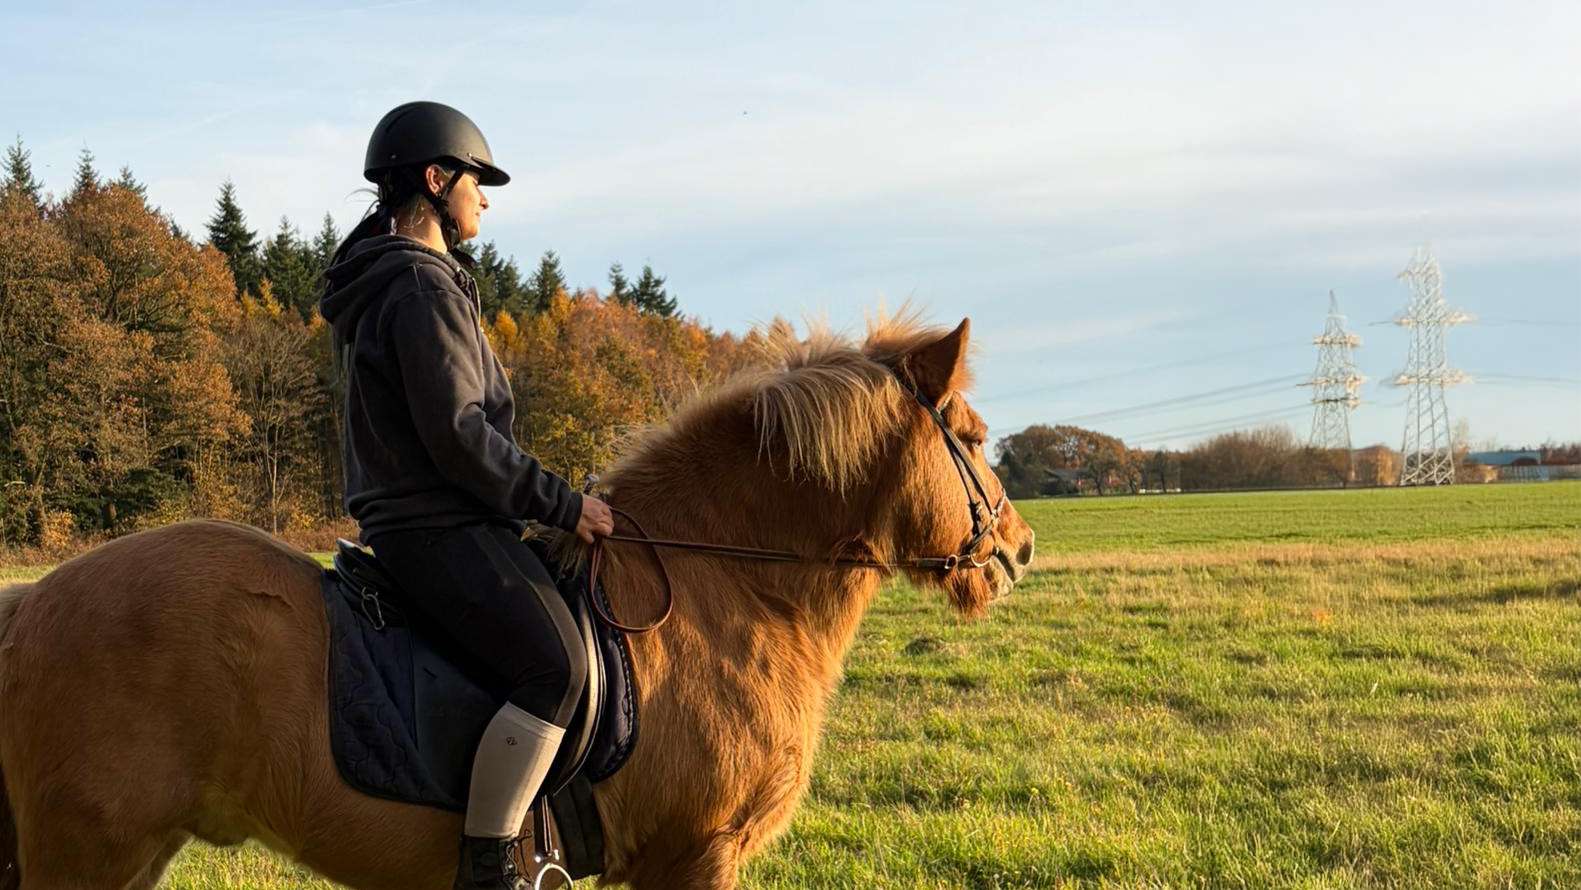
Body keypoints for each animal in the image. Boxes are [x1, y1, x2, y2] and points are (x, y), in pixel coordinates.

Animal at [0, 314, 1035, 889]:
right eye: (976, 438)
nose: (1019, 549)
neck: (725, 588)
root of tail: (32, 601)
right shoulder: (694, 857)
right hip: (89, 856)